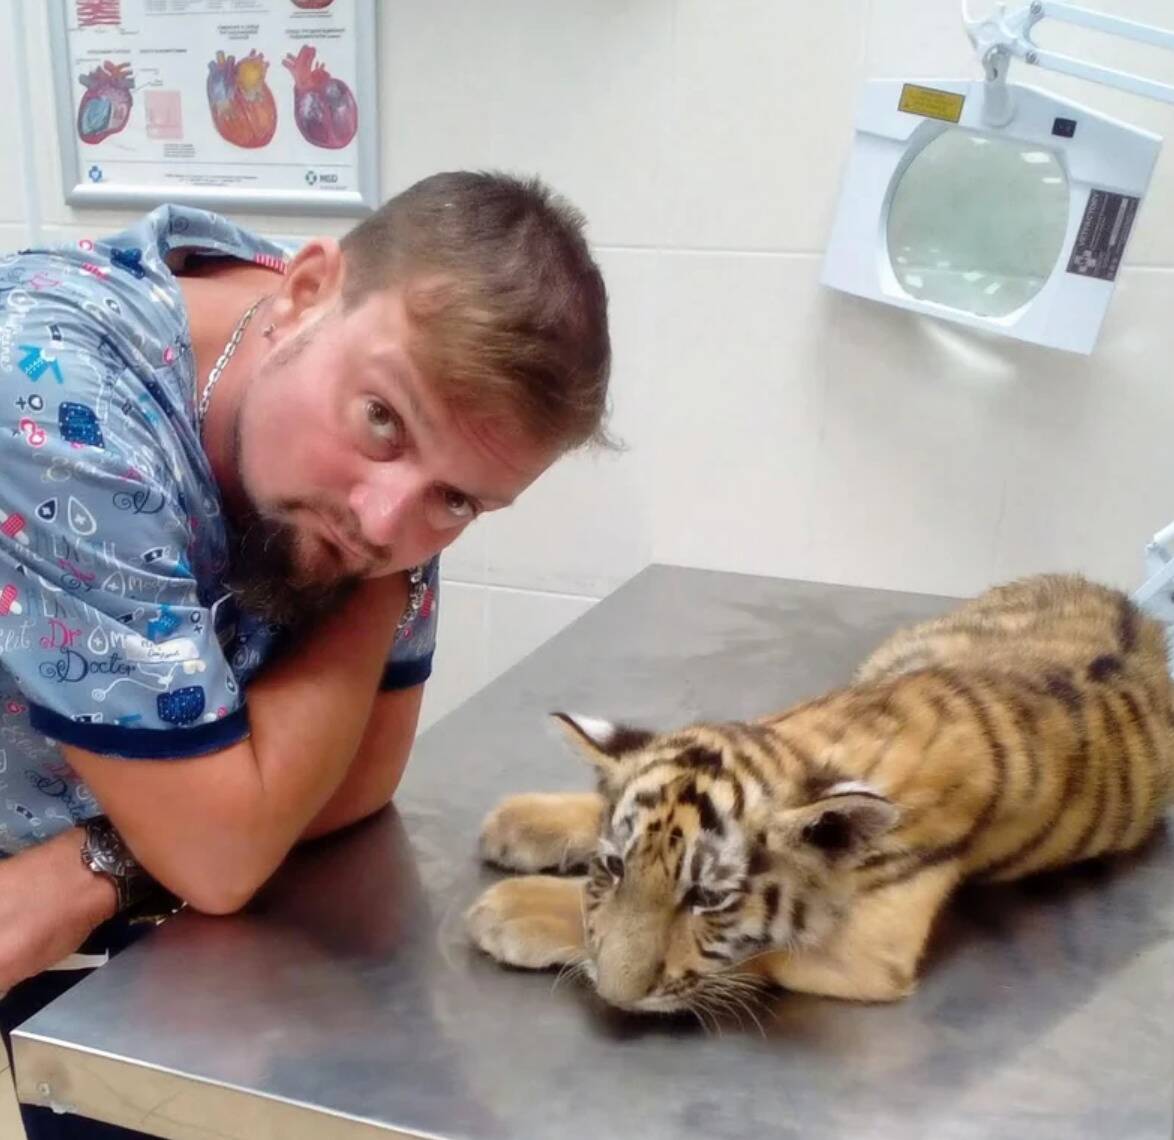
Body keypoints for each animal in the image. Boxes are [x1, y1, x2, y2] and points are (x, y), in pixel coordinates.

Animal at [465, 573, 1174, 1014]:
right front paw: (522, 827)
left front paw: (509, 910)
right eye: (612, 868)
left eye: (707, 899)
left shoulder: (872, 950)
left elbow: (750, 956)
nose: (613, 996)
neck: (815, 741)